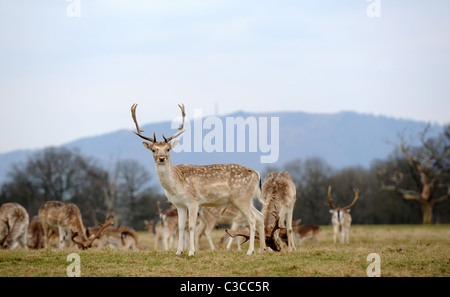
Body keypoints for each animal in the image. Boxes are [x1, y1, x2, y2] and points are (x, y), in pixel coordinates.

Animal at [130, 102, 266, 254]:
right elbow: (181, 227)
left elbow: (191, 227)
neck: (175, 186)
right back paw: (262, 250)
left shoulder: (193, 201)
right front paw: (178, 252)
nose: (161, 158)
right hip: (247, 199)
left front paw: (191, 252)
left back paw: (250, 251)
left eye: (168, 149)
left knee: (252, 219)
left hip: (241, 198)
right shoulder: (179, 204)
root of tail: (256, 173)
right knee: (260, 216)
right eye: (153, 149)